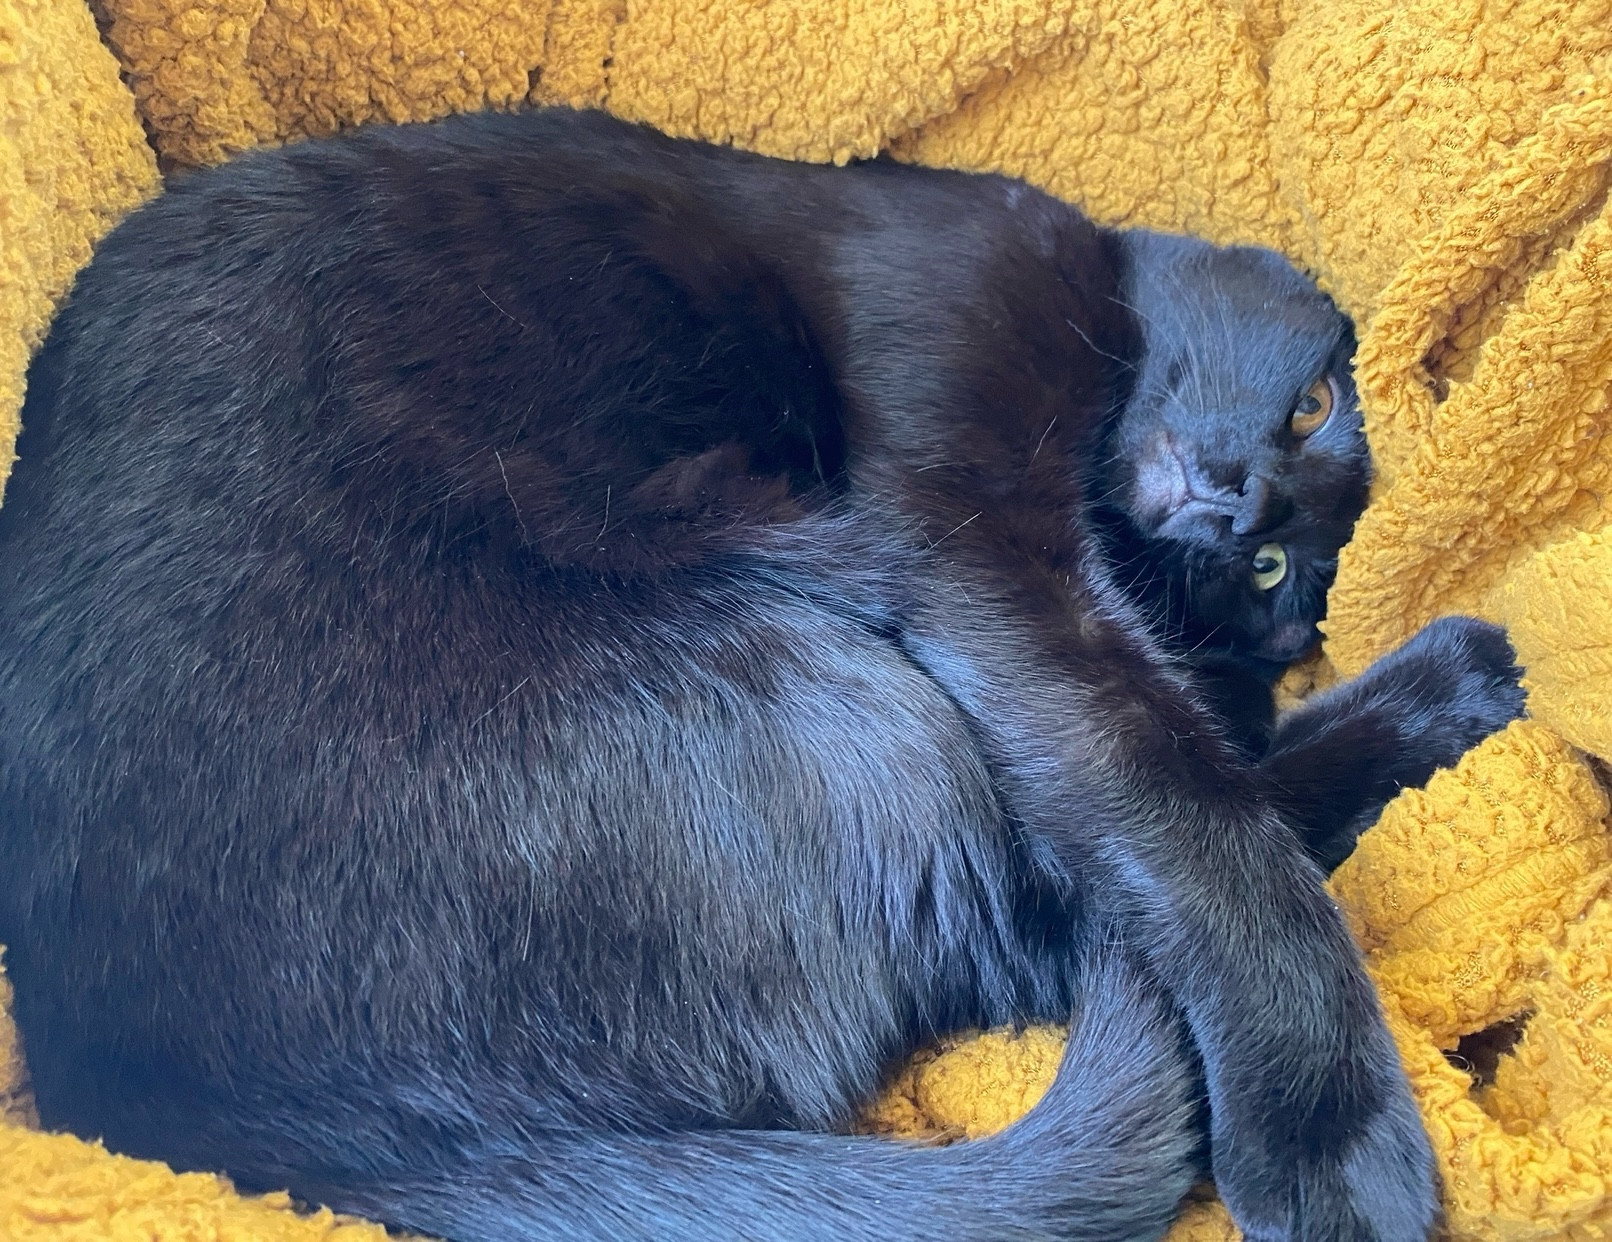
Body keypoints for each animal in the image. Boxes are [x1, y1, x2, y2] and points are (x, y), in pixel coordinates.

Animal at [0, 108, 1521, 1238]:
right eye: (1318, 401)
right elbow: (1183, 800)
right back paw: (1457, 678)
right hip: (844, 695)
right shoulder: (974, 539)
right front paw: (1338, 1140)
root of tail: (183, 1114)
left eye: (1273, 569)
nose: (1238, 500)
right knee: (1045, 912)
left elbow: (1181, 777)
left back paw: (1458, 686)